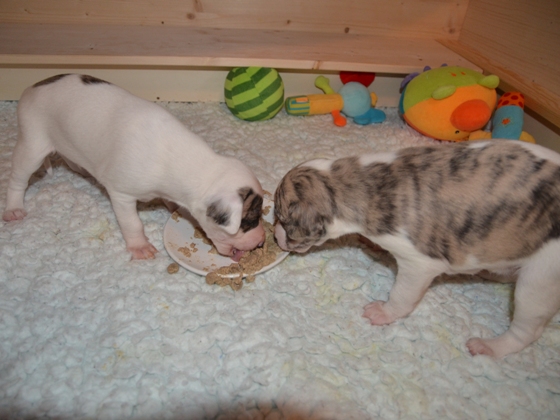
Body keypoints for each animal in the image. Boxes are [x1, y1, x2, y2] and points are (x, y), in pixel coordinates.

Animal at [3, 74, 265, 261]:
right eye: (250, 221)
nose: (262, 241)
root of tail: (30, 88)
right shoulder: (122, 195)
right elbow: (132, 223)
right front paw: (140, 246)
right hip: (33, 144)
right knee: (17, 179)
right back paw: (14, 208)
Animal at [274, 140, 560, 358]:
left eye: (283, 220)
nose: (275, 237)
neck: (348, 182)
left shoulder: (418, 264)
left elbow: (402, 294)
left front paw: (384, 312)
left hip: (538, 281)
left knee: (528, 329)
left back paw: (490, 347)